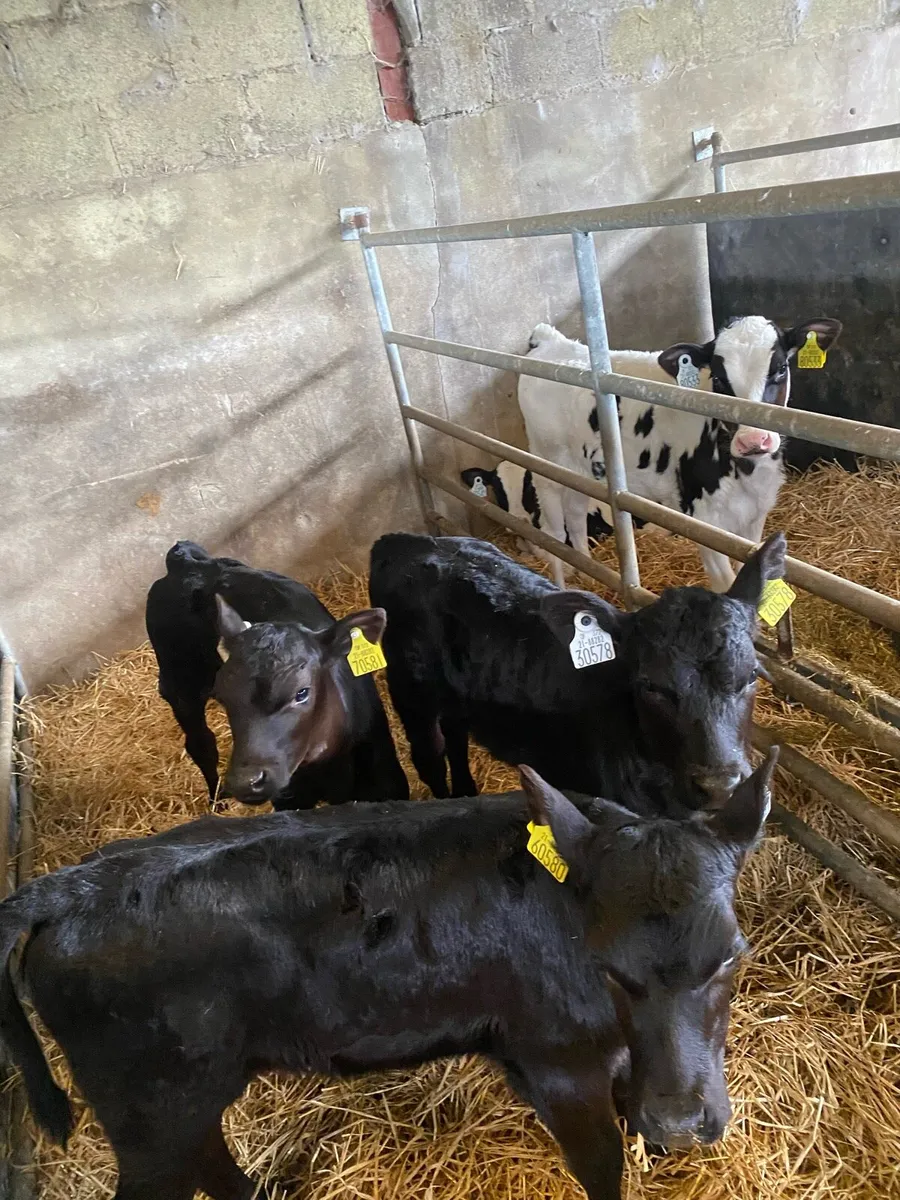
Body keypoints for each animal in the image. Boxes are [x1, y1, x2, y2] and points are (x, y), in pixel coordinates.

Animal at [0, 752, 778, 1200]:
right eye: (610, 969)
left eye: (731, 955)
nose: (681, 1122)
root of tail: (72, 884)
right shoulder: (558, 1063)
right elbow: (601, 1166)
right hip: (147, 1115)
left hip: (181, 1103)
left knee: (212, 1160)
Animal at [146, 541, 408, 810]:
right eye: (222, 696)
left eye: (301, 692)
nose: (246, 781)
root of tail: (186, 558)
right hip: (180, 682)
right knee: (201, 744)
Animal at [369, 530, 786, 815]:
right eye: (650, 686)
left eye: (751, 675)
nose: (720, 787)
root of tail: (406, 540)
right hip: (409, 692)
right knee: (430, 755)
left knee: (456, 736)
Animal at [519, 316, 841, 590]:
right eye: (719, 379)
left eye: (780, 369)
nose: (753, 440)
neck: (746, 473)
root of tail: (552, 341)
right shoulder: (703, 517)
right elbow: (725, 584)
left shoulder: (754, 515)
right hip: (545, 466)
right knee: (552, 533)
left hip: (579, 471)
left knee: (575, 516)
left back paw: (586, 572)